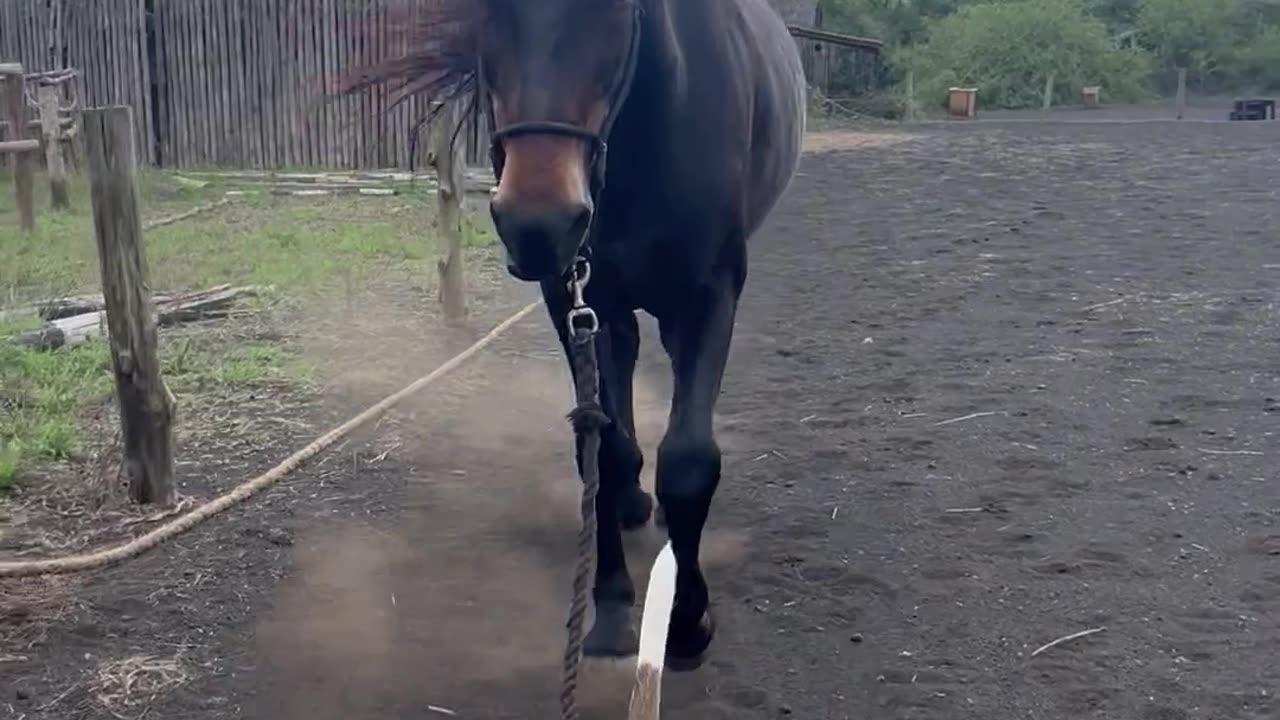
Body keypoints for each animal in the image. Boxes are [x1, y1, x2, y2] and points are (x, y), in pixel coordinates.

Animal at [339, 0, 806, 672]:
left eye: (618, 10)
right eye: (485, 11)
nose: (539, 223)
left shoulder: (710, 297)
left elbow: (690, 460)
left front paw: (687, 621)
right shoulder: (574, 297)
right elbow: (602, 450)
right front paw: (610, 607)